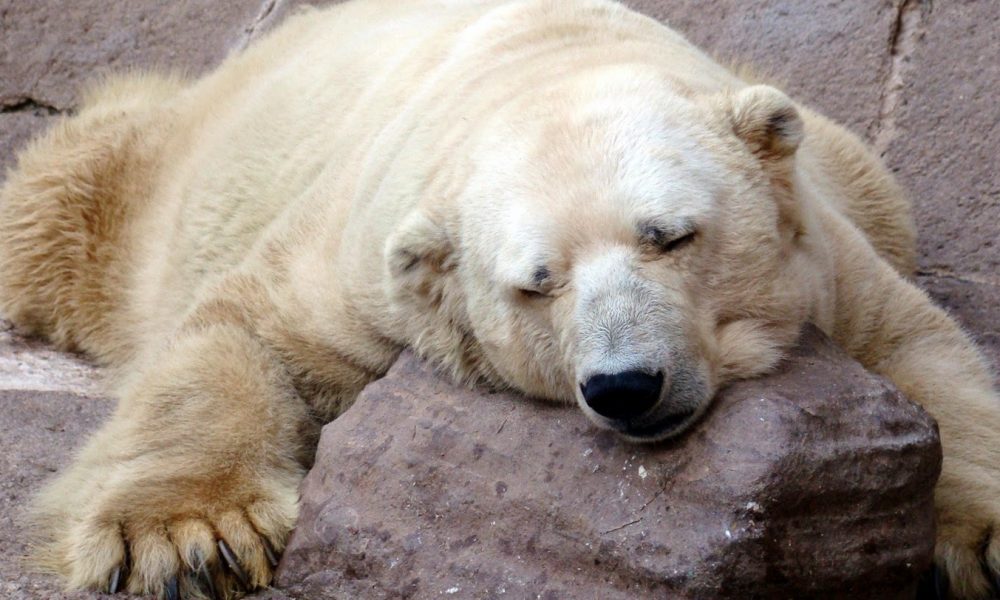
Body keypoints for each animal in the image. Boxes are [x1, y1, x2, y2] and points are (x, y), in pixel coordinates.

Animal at [1, 0, 1000, 596]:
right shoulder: (371, 251)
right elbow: (241, 332)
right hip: (151, 176)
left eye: (671, 235)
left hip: (856, 165)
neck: (551, 62)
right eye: (535, 284)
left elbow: (922, 352)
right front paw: (189, 543)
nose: (626, 386)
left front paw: (983, 540)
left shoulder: (827, 247)